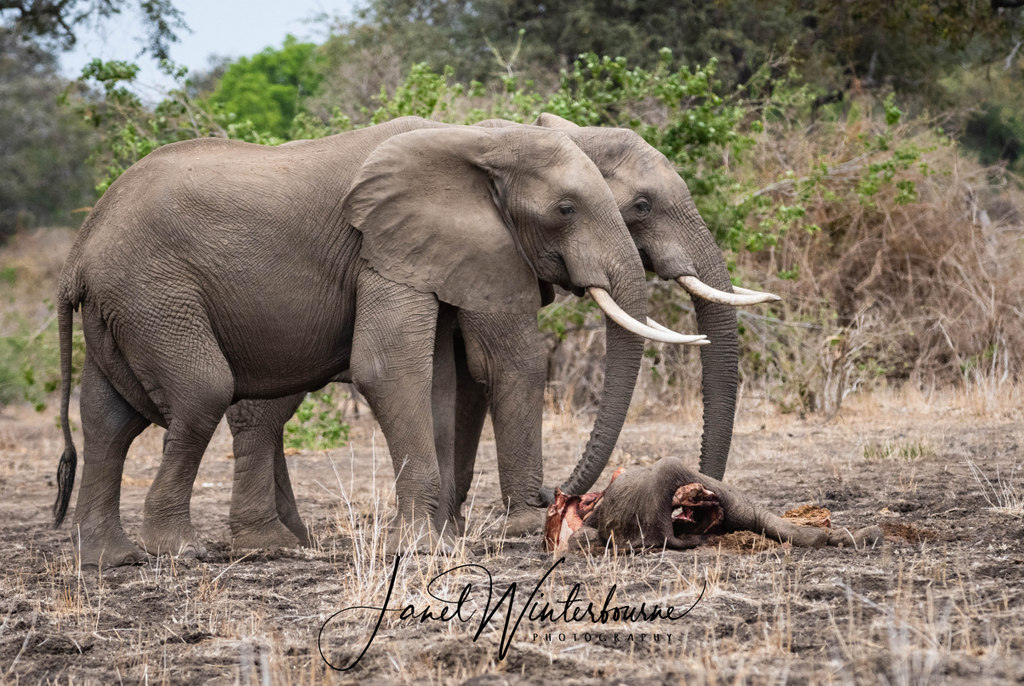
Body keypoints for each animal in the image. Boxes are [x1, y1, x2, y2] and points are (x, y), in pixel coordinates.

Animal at [51, 119, 700, 569]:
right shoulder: (385, 249)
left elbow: (442, 382)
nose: (555, 497)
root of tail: (78, 250)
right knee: (204, 392)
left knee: (109, 417)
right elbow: (408, 369)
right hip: (154, 292)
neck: (480, 140)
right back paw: (187, 552)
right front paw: (433, 547)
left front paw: (444, 539)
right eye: (566, 209)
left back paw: (114, 559)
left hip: (125, 306)